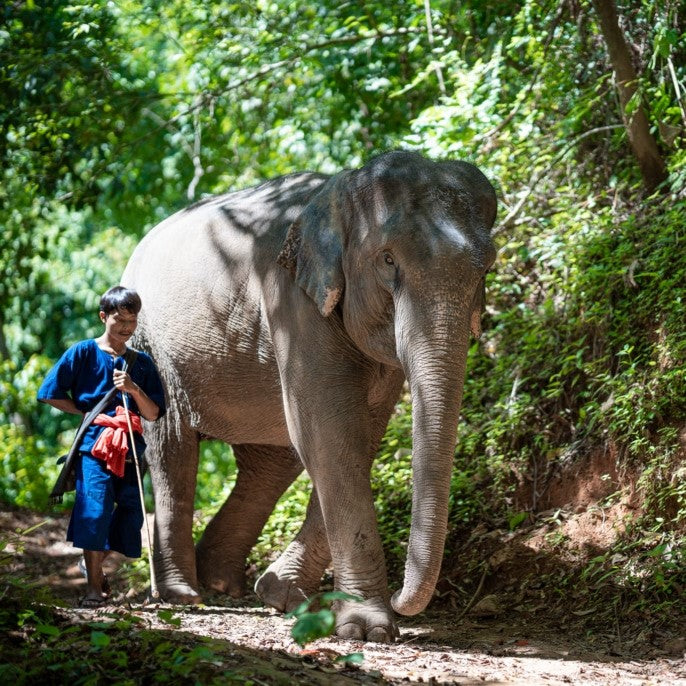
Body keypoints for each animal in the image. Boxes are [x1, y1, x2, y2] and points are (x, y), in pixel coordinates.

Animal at [121, 150, 497, 642]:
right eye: (388, 259)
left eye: (486, 266)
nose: (402, 597)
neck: (340, 190)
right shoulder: (290, 299)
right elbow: (331, 432)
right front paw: (368, 629)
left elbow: (357, 436)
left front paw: (281, 595)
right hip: (150, 349)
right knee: (173, 451)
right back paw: (183, 594)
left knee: (270, 462)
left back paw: (224, 582)